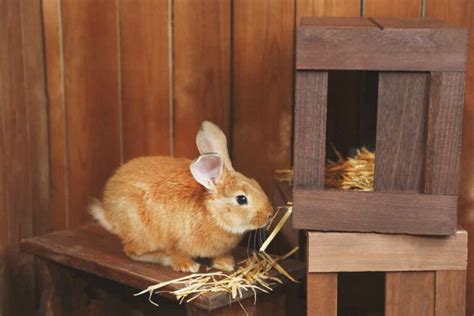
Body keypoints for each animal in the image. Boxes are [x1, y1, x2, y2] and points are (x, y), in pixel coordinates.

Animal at [90, 119, 274, 272]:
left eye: (255, 183)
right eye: (241, 199)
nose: (269, 214)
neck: (211, 212)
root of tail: (109, 214)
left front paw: (226, 264)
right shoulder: (175, 241)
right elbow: (177, 253)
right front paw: (188, 266)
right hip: (142, 234)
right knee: (132, 251)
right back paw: (163, 258)